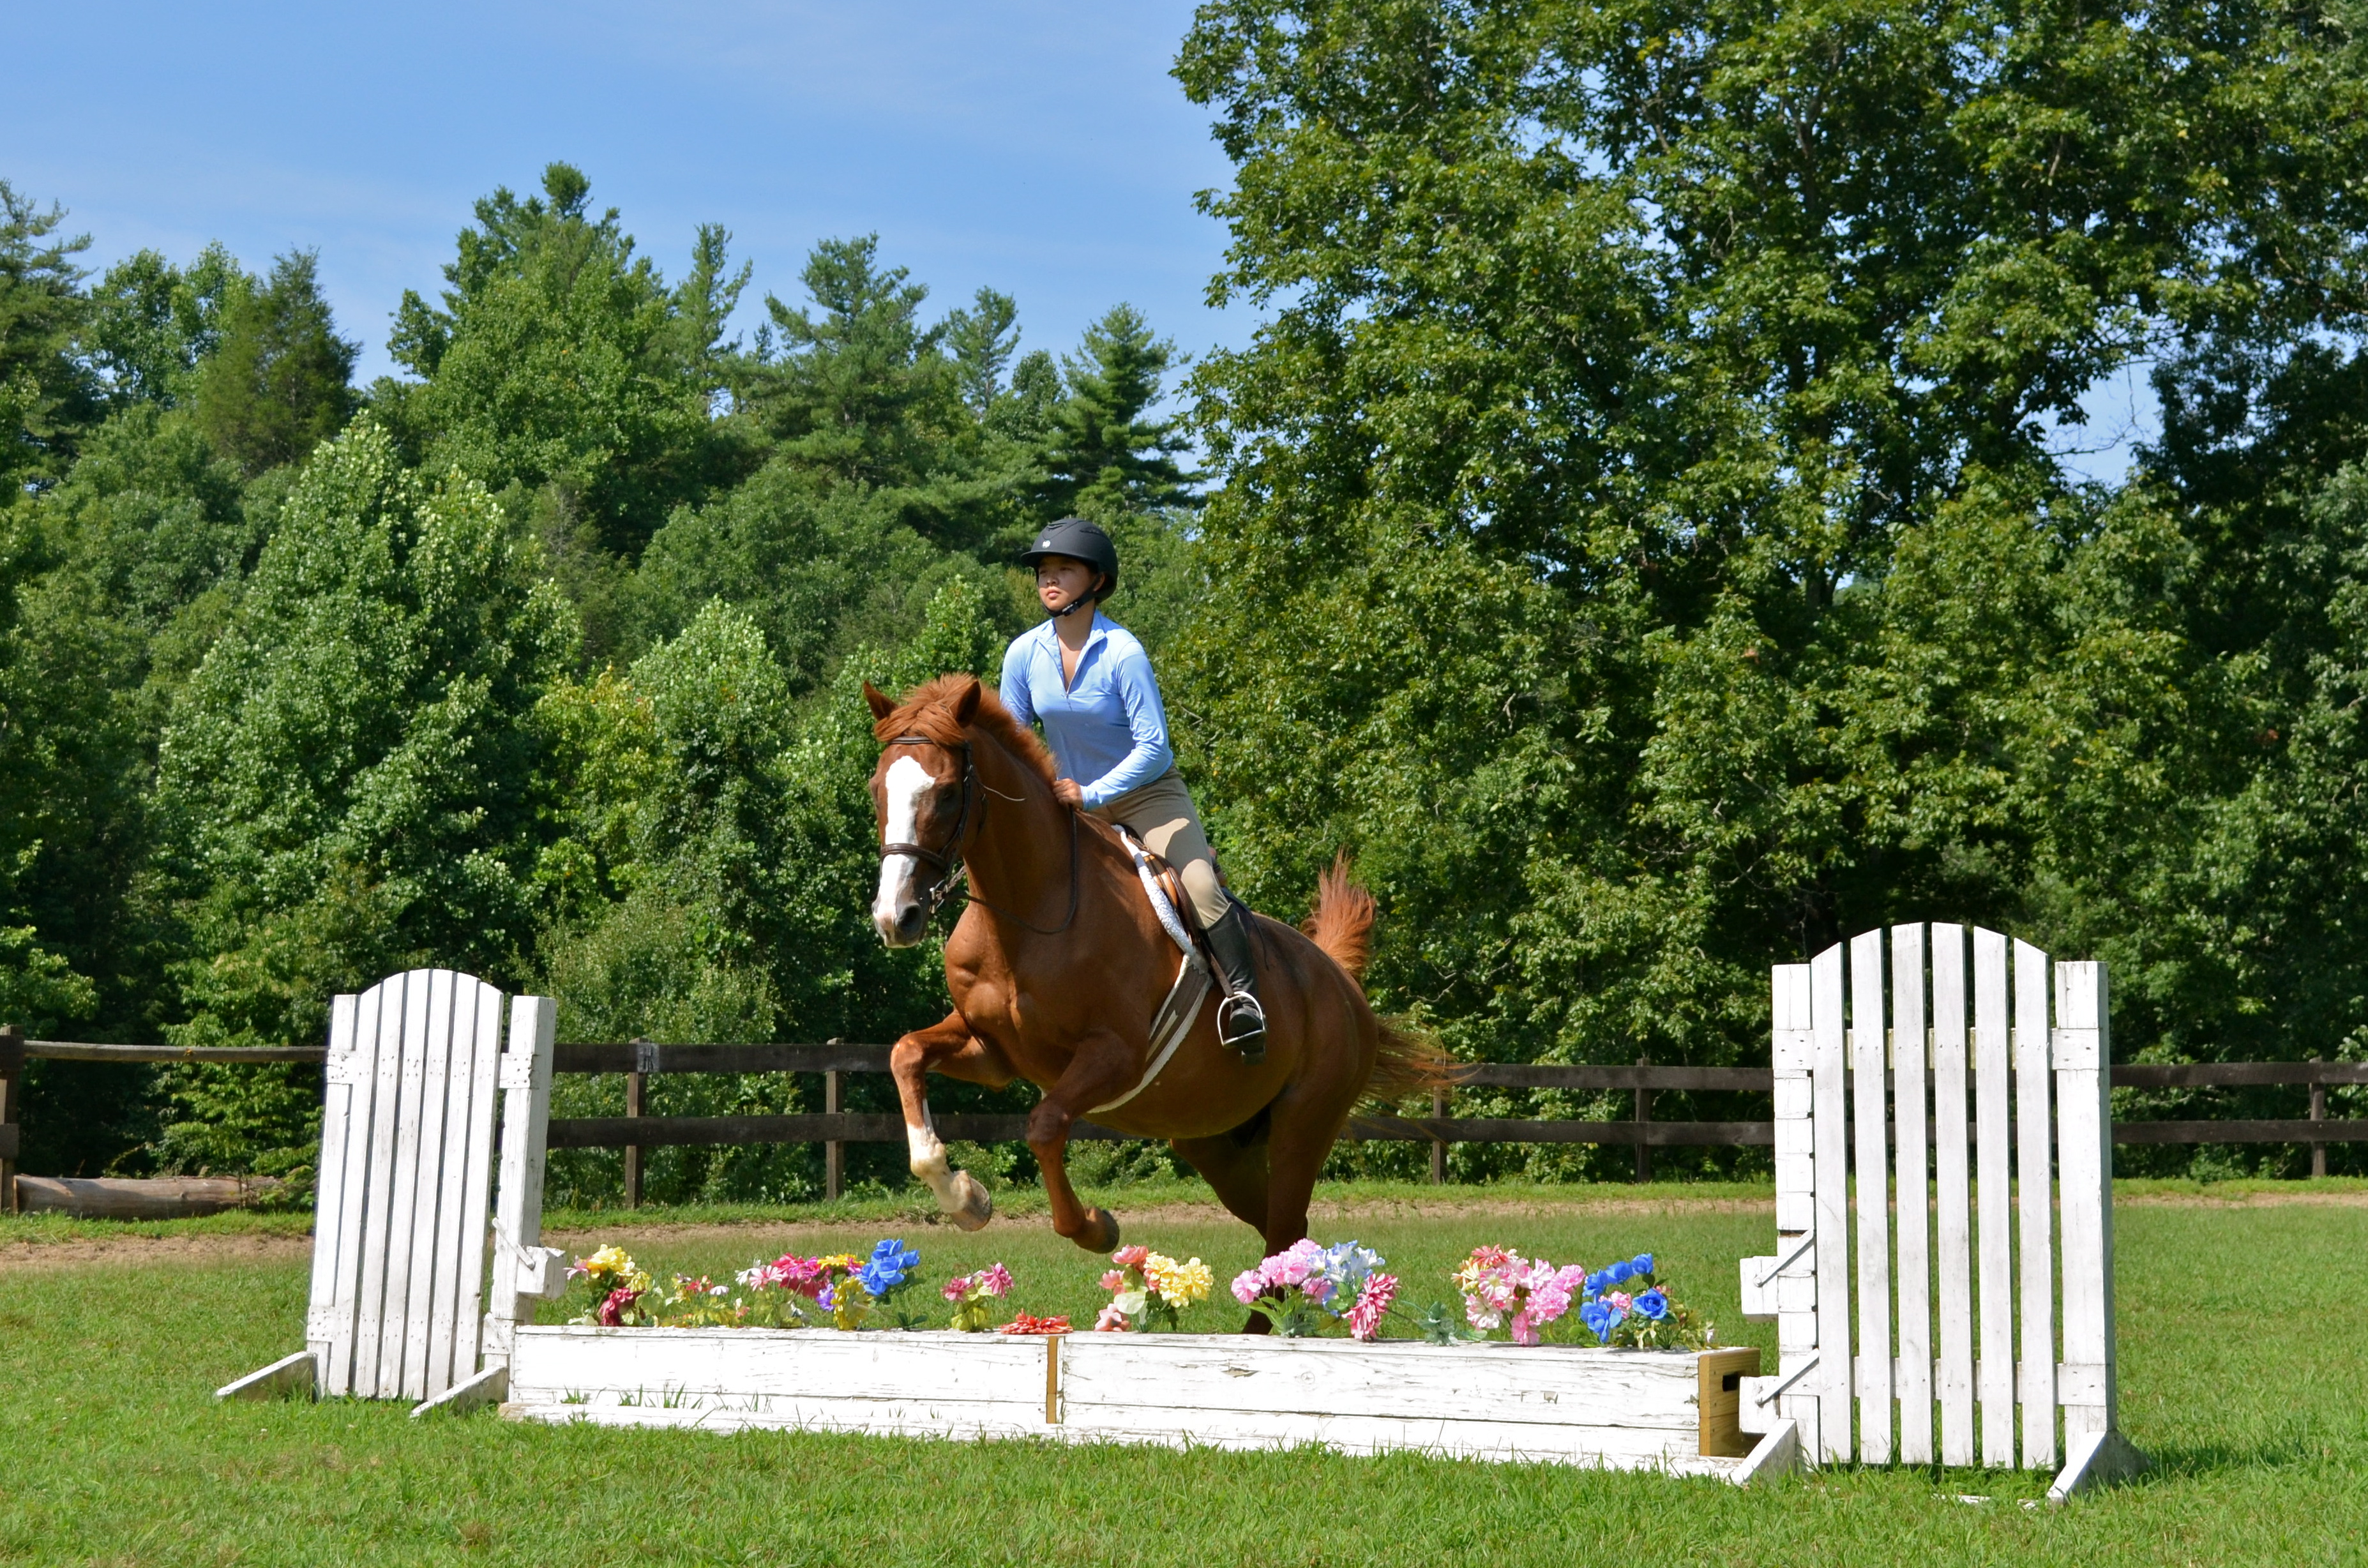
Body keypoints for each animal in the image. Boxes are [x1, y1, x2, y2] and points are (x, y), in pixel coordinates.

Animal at [863, 674, 1444, 1314]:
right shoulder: (991, 1053)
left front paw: (1096, 1227)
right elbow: (906, 1056)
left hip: (1304, 1122)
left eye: (945, 794)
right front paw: (966, 1199)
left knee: (1286, 1227)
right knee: (1282, 1230)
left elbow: (1044, 1125)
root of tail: (1338, 980)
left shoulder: (1115, 1056)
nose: (895, 918)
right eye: (877, 790)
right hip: (1215, 1142)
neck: (1031, 913)